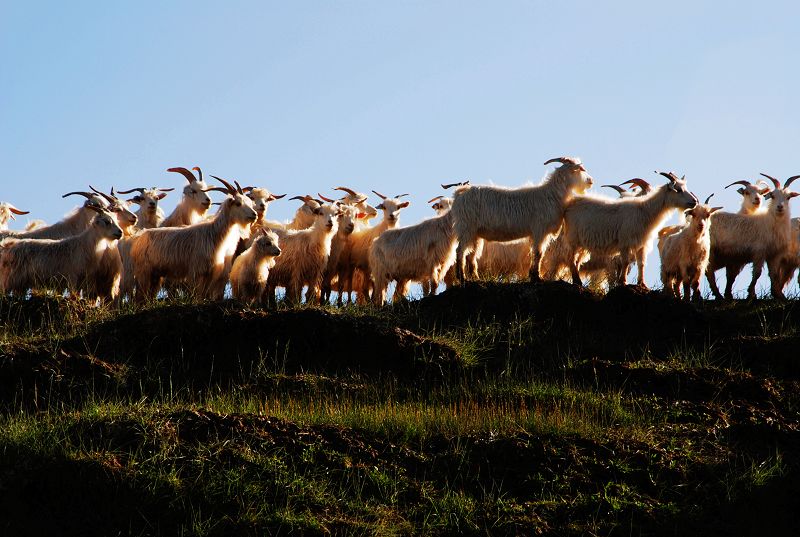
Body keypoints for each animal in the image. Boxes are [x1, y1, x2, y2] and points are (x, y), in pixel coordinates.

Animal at [450, 157, 592, 282]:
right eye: (579, 169)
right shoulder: (539, 230)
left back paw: (475, 277)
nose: (590, 180)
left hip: (475, 232)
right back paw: (462, 277)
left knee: (471, 254)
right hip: (466, 227)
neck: (551, 195)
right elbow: (538, 253)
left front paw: (533, 275)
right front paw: (536, 277)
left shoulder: (539, 233)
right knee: (460, 251)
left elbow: (536, 253)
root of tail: (460, 193)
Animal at [560, 172, 696, 288]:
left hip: (582, 243)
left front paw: (642, 284)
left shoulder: (642, 244)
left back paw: (577, 280)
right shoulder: (625, 242)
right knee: (570, 258)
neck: (645, 211)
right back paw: (577, 281)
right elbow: (625, 262)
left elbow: (642, 264)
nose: (694, 201)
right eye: (678, 190)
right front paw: (623, 281)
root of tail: (570, 203)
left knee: (577, 261)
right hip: (573, 238)